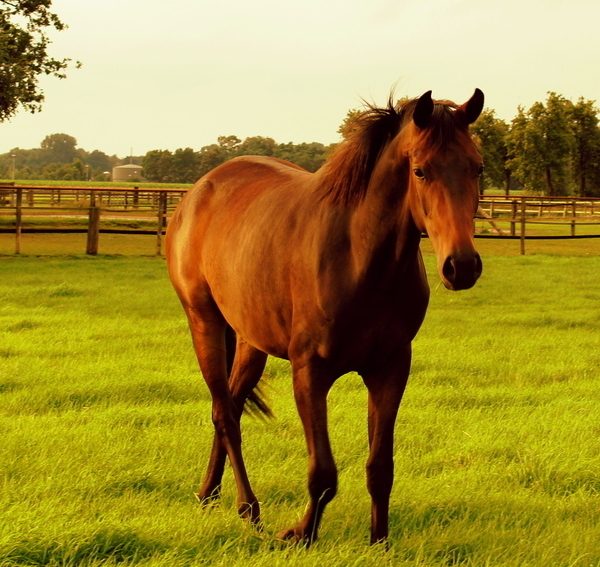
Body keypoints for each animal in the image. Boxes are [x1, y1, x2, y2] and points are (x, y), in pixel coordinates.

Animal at [166, 89, 486, 544]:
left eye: (477, 167)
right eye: (420, 170)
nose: (462, 266)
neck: (358, 257)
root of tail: (198, 191)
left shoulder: (390, 369)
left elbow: (380, 468)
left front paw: (379, 541)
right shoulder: (309, 371)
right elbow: (323, 472)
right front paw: (301, 535)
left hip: (250, 341)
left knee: (229, 405)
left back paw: (209, 493)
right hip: (204, 321)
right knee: (225, 414)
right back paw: (249, 509)